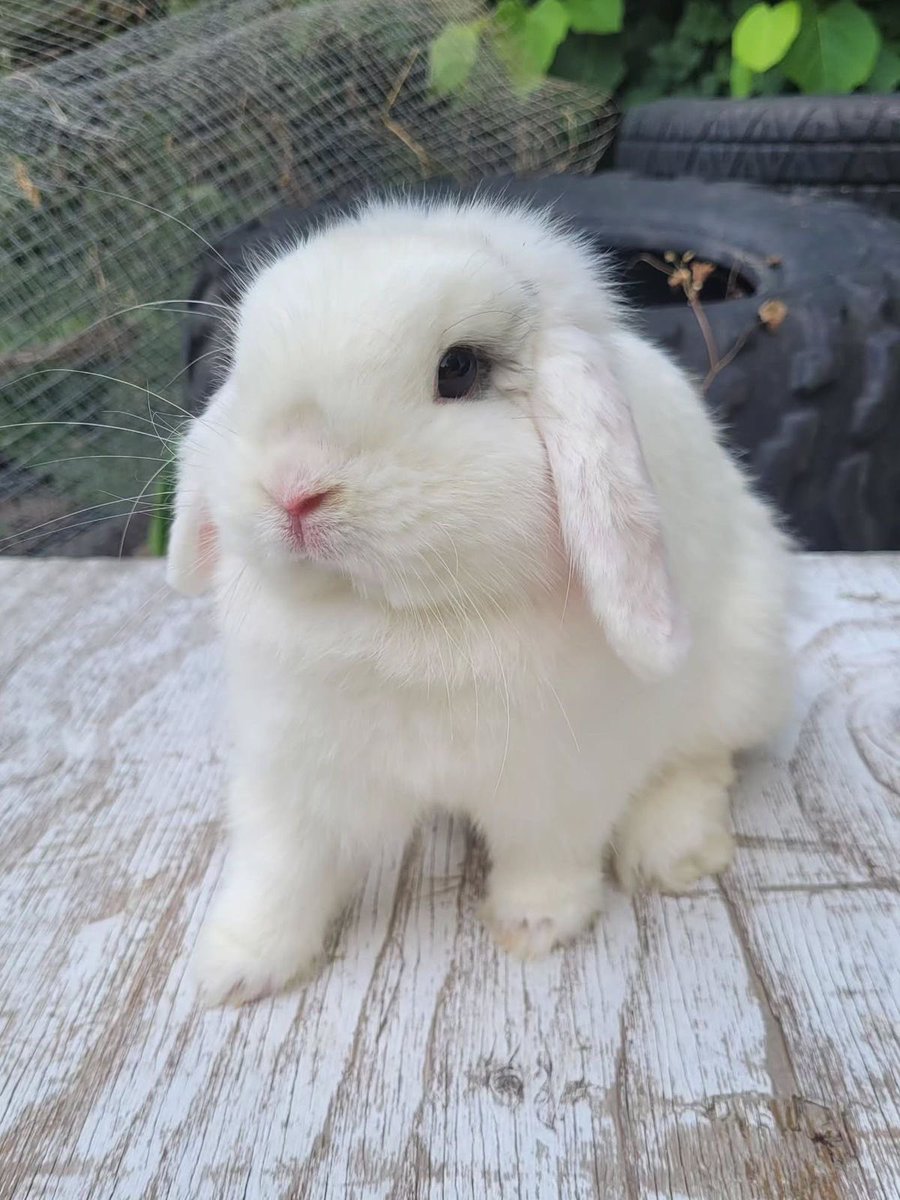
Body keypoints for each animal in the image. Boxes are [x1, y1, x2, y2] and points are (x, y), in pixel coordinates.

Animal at [167, 193, 792, 1007]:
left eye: (459, 369)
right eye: (242, 366)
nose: (294, 490)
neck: (406, 620)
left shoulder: (563, 776)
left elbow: (547, 854)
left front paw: (535, 927)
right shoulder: (290, 768)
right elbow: (280, 865)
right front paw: (233, 968)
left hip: (743, 664)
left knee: (703, 759)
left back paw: (673, 849)